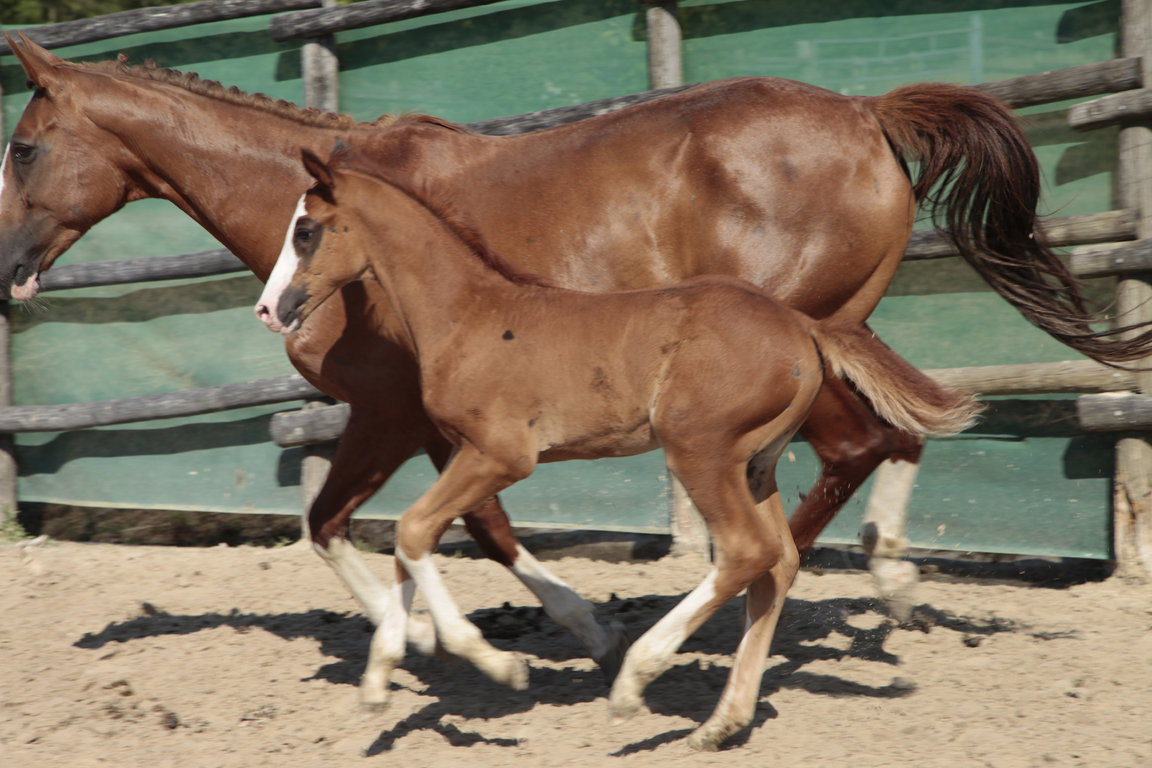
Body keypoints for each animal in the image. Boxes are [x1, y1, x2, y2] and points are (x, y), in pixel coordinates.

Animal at [0, 37, 1142, 667]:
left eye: (23, 145)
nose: (7, 264)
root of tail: (867, 114)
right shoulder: (442, 421)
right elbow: (458, 524)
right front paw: (457, 631)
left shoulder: (389, 411)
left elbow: (353, 523)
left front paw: (491, 634)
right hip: (839, 334)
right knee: (891, 440)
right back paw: (867, 585)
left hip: (788, 347)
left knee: (847, 458)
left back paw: (719, 624)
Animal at [254, 147, 981, 746]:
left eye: (306, 231)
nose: (268, 310)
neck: (470, 316)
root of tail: (800, 323)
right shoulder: (458, 453)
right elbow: (414, 543)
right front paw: (380, 681)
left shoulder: (499, 456)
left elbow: (412, 530)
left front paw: (496, 663)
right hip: (755, 465)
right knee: (777, 564)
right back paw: (721, 724)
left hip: (699, 451)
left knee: (746, 553)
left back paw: (636, 680)